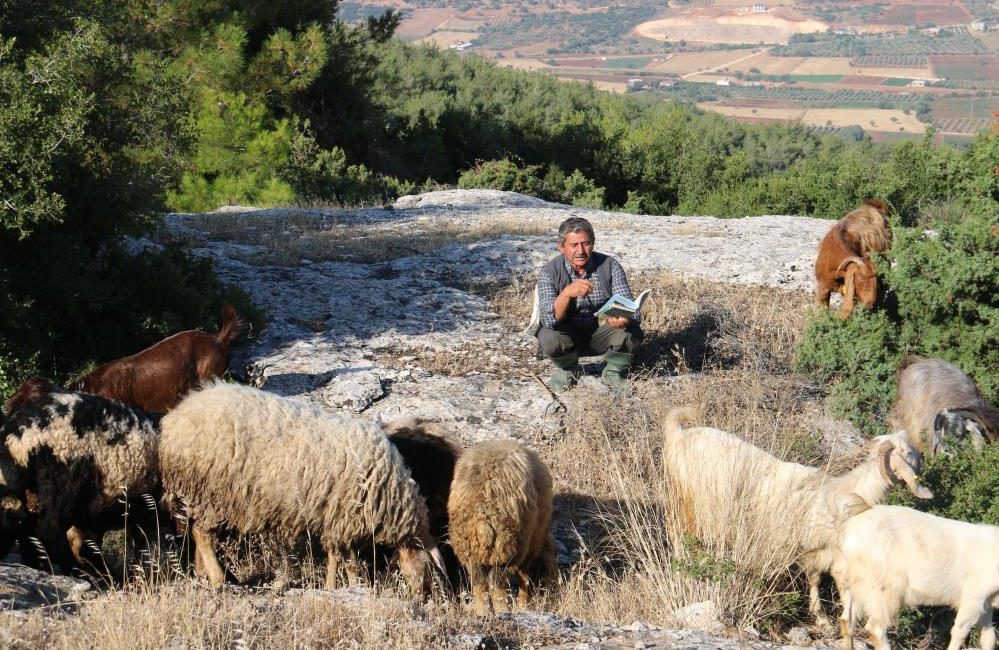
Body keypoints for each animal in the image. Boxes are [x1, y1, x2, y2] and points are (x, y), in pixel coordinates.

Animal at [159, 382, 442, 596]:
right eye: (427, 566)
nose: (422, 597)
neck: (390, 493)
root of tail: (174, 421)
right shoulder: (343, 519)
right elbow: (345, 560)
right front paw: (343, 586)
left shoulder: (338, 521)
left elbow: (340, 559)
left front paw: (341, 585)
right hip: (213, 492)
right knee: (203, 535)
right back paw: (218, 579)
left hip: (202, 494)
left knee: (197, 532)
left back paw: (203, 573)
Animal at [450, 436, 560, 612]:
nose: (554, 583)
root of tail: (483, 516)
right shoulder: (529, 544)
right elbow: (524, 576)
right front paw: (523, 604)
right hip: (506, 546)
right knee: (498, 585)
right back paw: (504, 610)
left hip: (468, 549)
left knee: (479, 583)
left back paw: (482, 612)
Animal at [660, 404, 932, 624]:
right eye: (907, 453)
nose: (923, 460)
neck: (844, 493)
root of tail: (679, 433)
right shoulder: (808, 547)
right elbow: (817, 579)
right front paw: (820, 617)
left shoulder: (829, 552)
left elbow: (827, 581)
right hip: (687, 502)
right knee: (678, 534)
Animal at [832, 504, 996, 648]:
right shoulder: (974, 594)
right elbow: (960, 632)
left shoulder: (987, 603)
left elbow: (988, 638)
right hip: (883, 587)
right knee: (875, 628)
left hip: (851, 583)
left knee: (847, 621)